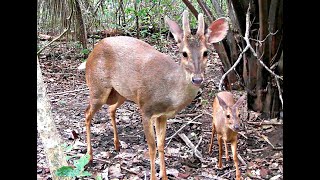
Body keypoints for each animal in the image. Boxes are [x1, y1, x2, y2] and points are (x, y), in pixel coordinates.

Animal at [82, 10, 228, 179]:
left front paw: (164, 176)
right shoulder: (146, 109)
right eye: (184, 53)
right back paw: (89, 156)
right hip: (98, 88)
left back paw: (117, 145)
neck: (169, 93)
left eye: (206, 52)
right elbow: (152, 148)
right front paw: (153, 175)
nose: (197, 79)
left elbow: (161, 145)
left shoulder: (162, 116)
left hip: (121, 93)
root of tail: (94, 50)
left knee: (110, 109)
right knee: (87, 113)